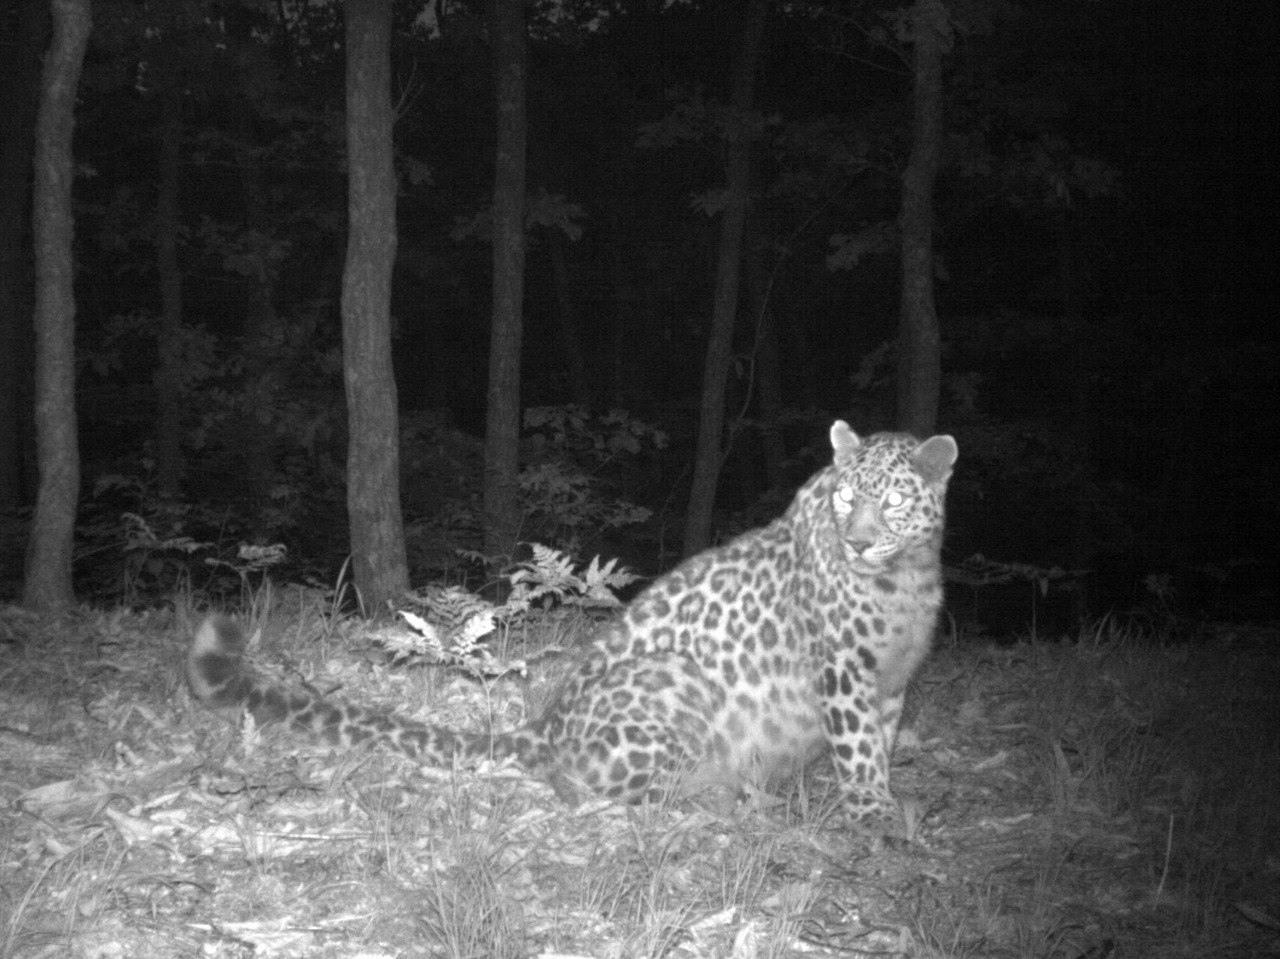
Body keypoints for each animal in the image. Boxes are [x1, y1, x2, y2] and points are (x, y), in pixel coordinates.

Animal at [185, 419, 957, 829]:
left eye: (889, 501)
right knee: (611, 786)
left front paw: (886, 803)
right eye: (845, 498)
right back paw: (726, 796)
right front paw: (873, 817)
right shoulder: (843, 669)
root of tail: (548, 722)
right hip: (675, 682)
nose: (857, 541)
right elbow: (857, 746)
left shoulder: (891, 680)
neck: (908, 575)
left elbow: (880, 742)